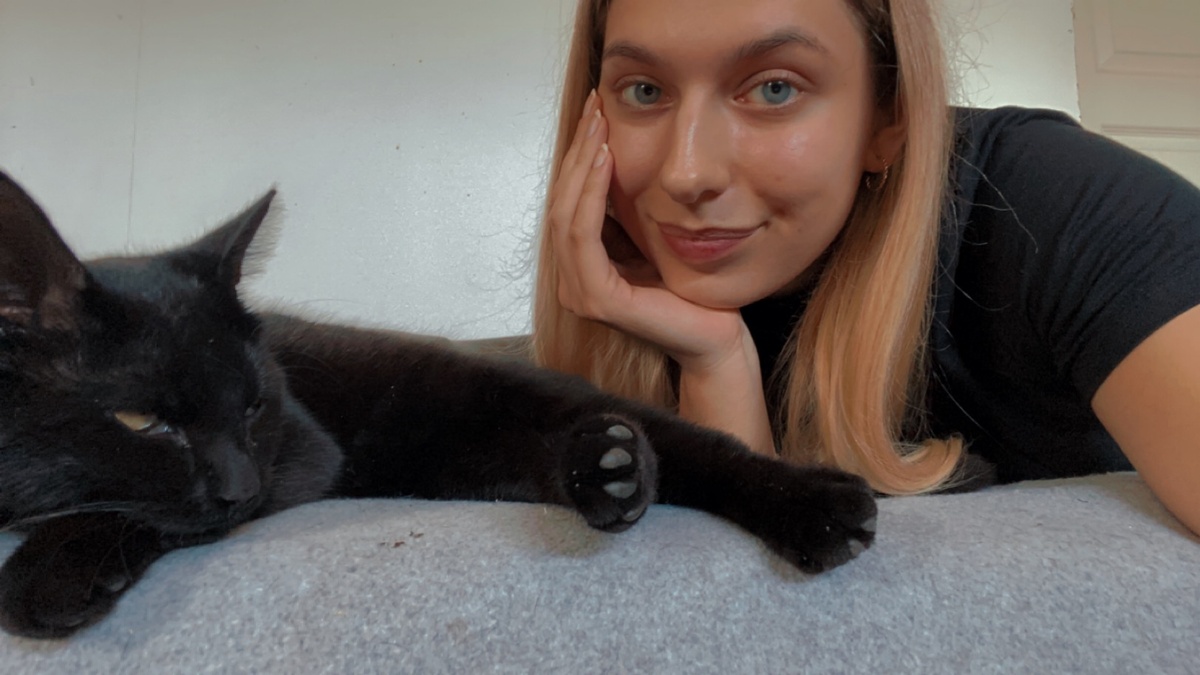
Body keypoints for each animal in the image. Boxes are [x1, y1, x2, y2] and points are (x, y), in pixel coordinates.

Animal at [0, 171, 876, 639]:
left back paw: (817, 506)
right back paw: (610, 468)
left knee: (697, 446)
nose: (239, 487)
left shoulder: (303, 456)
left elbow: (135, 508)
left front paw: (51, 568)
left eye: (252, 406)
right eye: (143, 421)